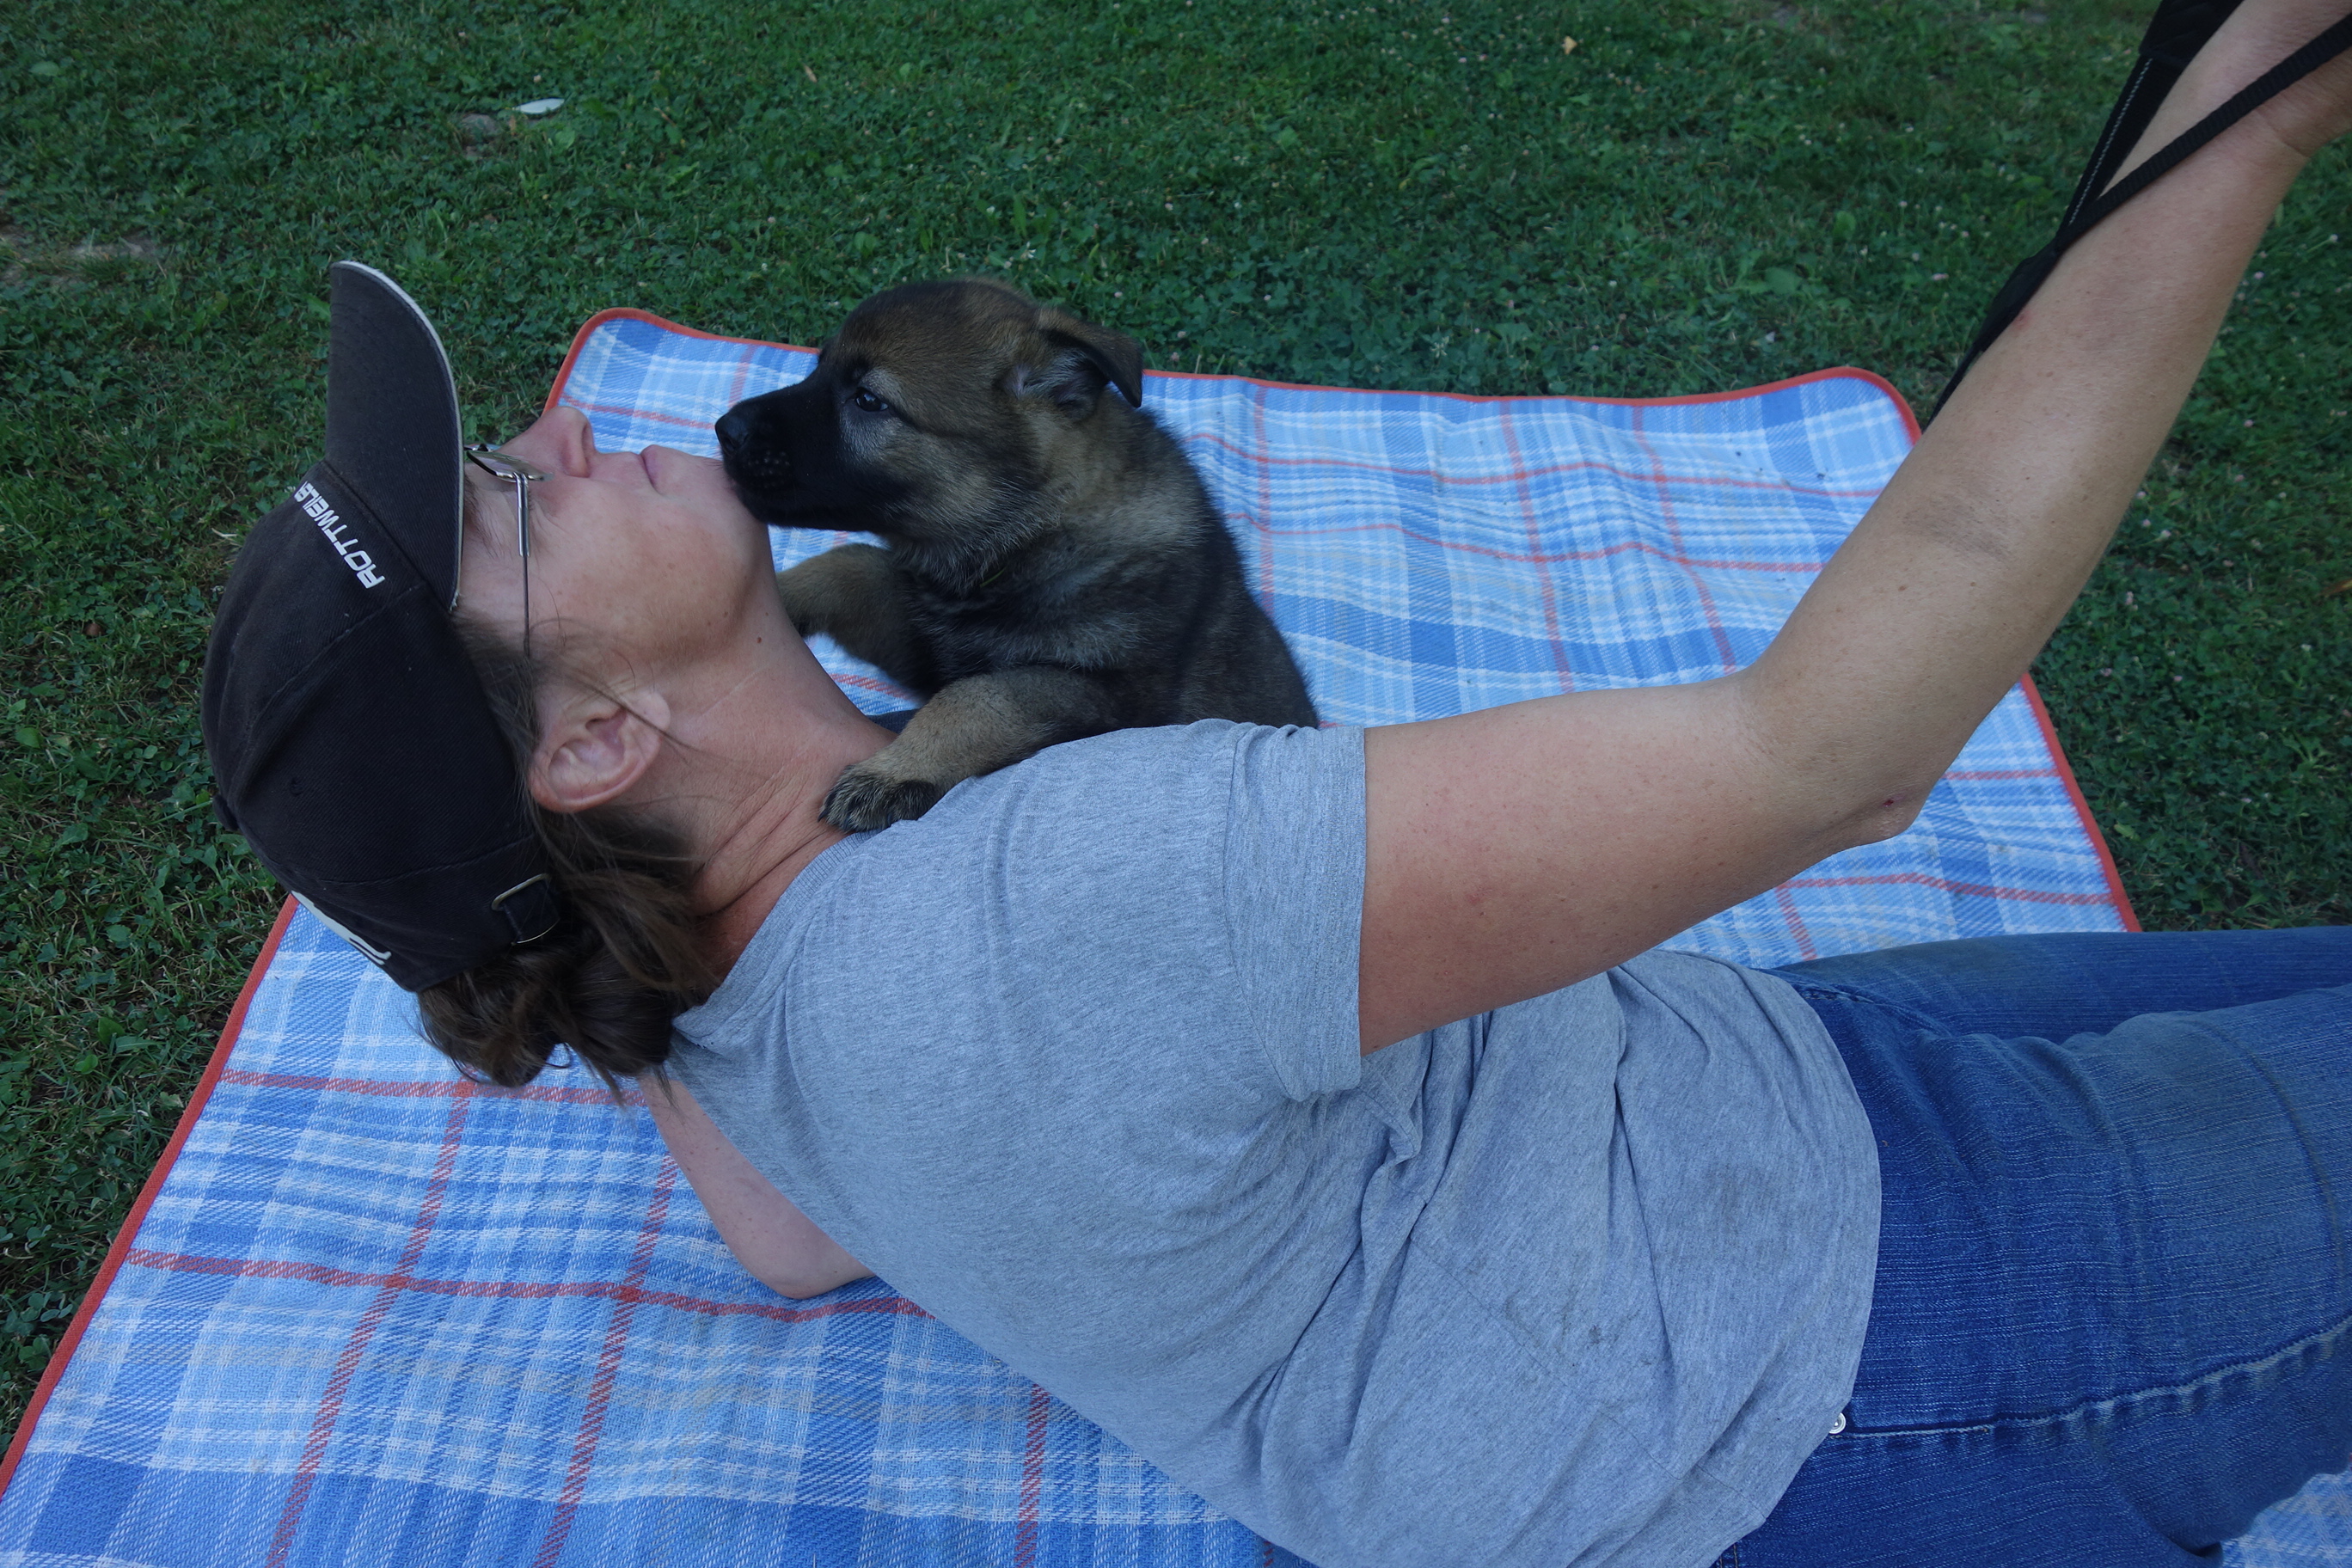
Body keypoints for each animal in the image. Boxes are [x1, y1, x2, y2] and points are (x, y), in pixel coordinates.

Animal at [714, 279, 1318, 832]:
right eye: (819, 370)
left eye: (868, 400)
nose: (725, 429)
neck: (1035, 534)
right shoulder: (926, 645)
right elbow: (853, 564)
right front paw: (776, 596)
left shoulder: (1101, 696)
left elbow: (978, 697)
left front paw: (894, 769)